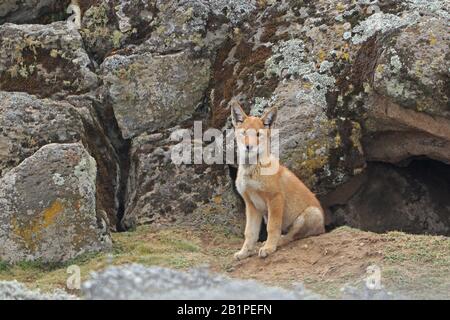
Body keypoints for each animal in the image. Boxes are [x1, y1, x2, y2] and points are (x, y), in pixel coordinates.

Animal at [232, 102, 324, 260]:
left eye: (258, 134)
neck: (252, 171)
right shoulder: (251, 205)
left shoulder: (275, 198)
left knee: (291, 237)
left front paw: (269, 248)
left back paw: (273, 244)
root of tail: (324, 228)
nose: (249, 147)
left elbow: (272, 227)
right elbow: (250, 232)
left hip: (308, 215)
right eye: (244, 133)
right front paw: (244, 252)